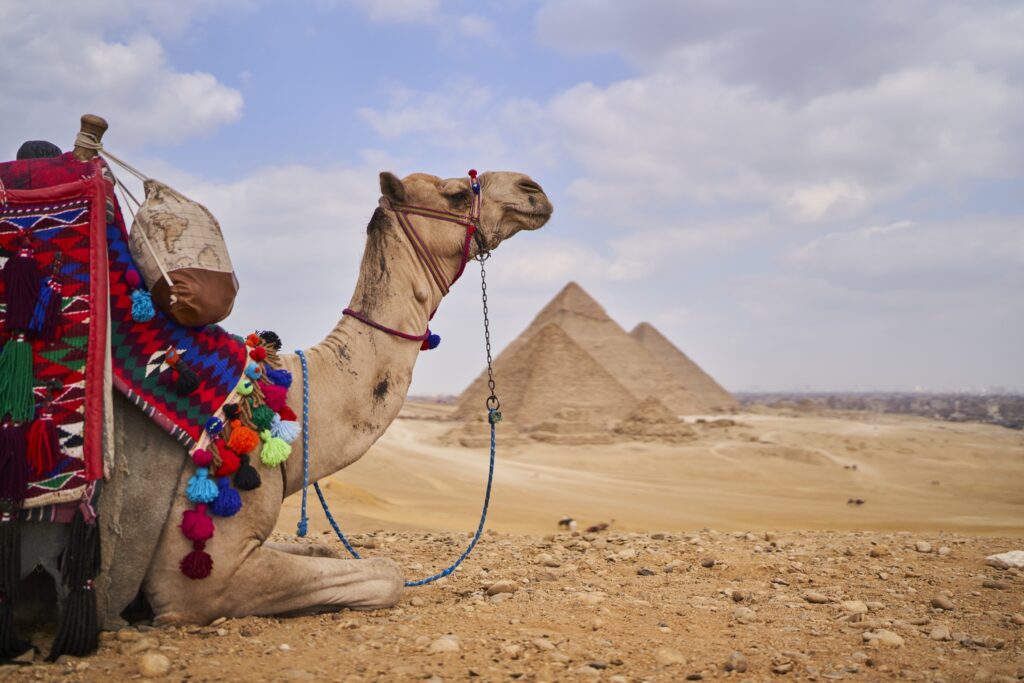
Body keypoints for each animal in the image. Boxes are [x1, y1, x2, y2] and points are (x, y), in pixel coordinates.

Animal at [19, 124, 552, 630]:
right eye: (455, 194)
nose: (533, 188)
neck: (284, 397)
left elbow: (327, 549)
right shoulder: (200, 575)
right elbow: (387, 573)